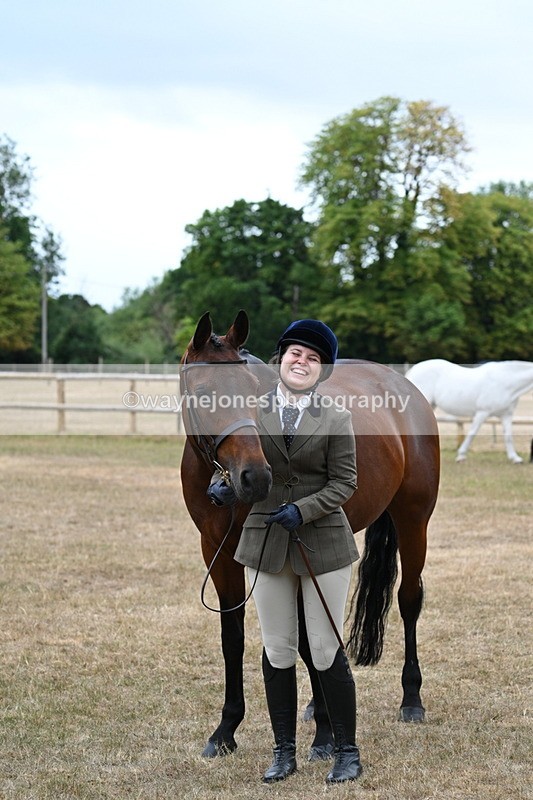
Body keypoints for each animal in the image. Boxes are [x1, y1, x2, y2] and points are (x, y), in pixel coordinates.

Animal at [180, 310, 440, 758]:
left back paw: (412, 699)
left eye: (252, 391)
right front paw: (226, 729)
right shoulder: (218, 551)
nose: (255, 477)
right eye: (202, 392)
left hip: (413, 521)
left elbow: (306, 638)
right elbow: (235, 637)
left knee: (409, 600)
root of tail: (400, 384)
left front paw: (325, 732)